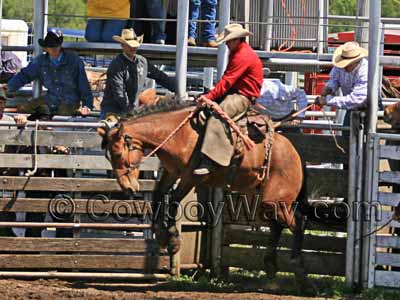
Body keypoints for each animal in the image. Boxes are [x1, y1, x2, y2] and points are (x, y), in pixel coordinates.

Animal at [98, 100, 308, 278]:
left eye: (117, 153)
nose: (127, 188)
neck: (179, 134)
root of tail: (295, 153)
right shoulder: (171, 172)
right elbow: (158, 197)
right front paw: (162, 235)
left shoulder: (191, 176)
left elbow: (173, 200)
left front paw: (173, 241)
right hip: (265, 200)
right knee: (277, 225)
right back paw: (271, 265)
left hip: (276, 201)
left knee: (297, 221)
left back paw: (297, 265)